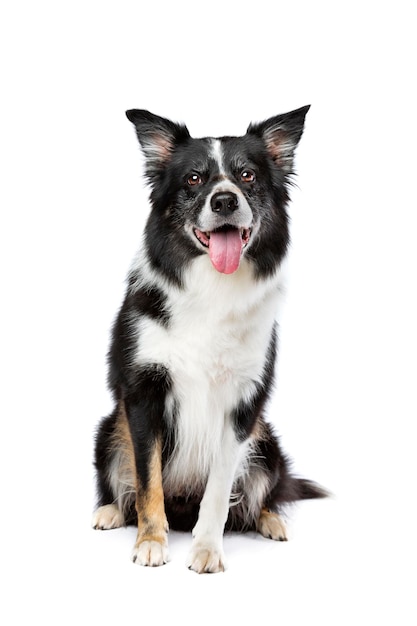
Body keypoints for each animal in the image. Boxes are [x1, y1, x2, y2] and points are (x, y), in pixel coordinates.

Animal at [92, 106, 326, 572]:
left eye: (248, 175)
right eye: (194, 179)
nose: (224, 201)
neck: (212, 288)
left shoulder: (243, 405)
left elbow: (219, 490)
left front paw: (206, 549)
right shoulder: (142, 394)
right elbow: (147, 481)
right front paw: (151, 541)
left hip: (266, 441)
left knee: (261, 496)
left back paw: (271, 520)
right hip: (109, 429)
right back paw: (110, 511)